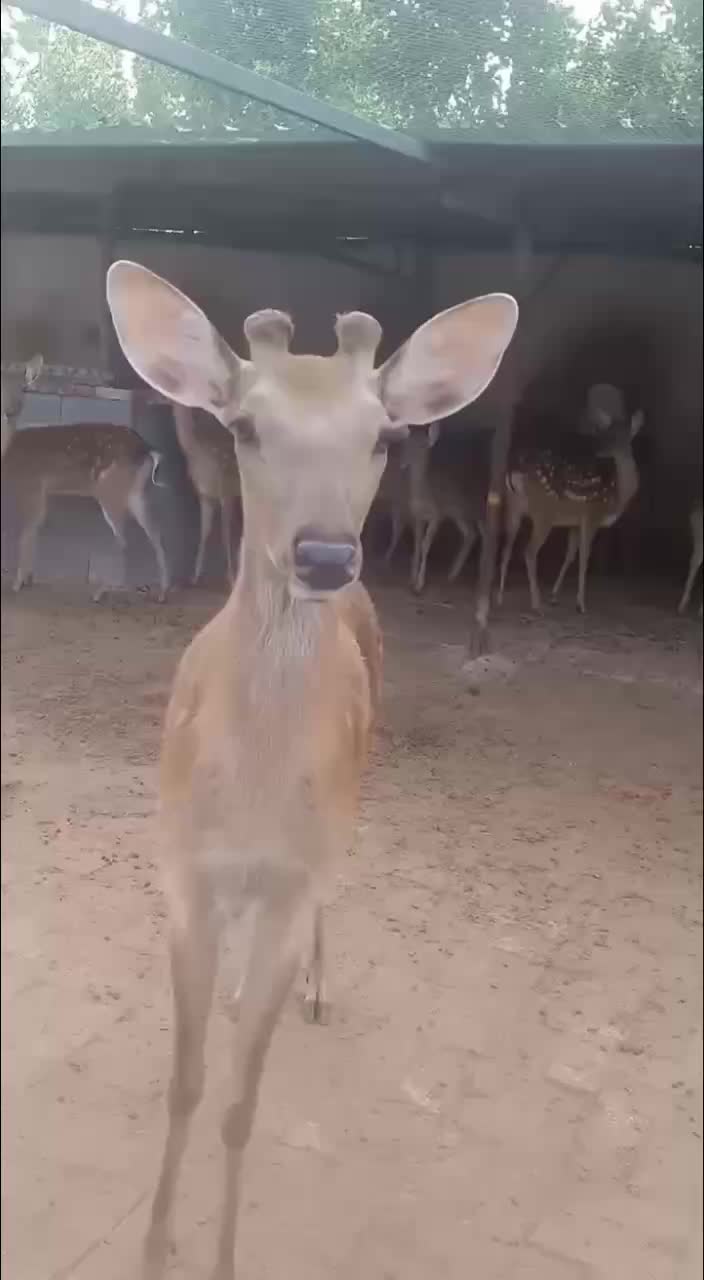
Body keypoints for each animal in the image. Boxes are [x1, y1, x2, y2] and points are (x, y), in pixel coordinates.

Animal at [2, 417, 172, 601]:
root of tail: (147, 450)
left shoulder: (30, 486)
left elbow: (26, 532)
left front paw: (17, 583)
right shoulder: (40, 493)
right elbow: (34, 528)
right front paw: (27, 579)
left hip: (111, 489)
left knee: (123, 539)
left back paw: (99, 592)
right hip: (135, 492)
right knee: (155, 533)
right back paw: (162, 593)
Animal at [171, 401, 243, 586]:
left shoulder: (226, 491)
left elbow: (225, 533)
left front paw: (231, 577)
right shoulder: (204, 495)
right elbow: (204, 532)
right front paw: (194, 577)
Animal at [496, 404, 645, 614]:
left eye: (622, 437)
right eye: (606, 434)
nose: (600, 451)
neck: (617, 496)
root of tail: (515, 472)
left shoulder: (575, 523)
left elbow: (570, 556)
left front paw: (554, 596)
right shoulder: (592, 515)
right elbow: (584, 558)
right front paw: (581, 604)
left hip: (513, 509)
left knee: (506, 549)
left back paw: (500, 599)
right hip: (544, 512)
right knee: (529, 551)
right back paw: (536, 604)